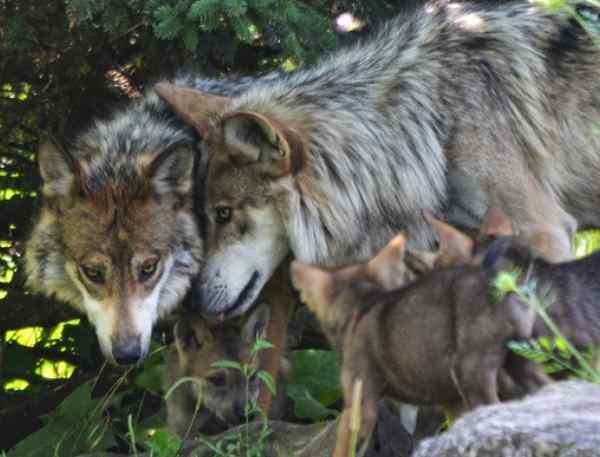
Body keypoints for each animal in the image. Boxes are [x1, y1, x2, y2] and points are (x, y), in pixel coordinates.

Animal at [290, 237, 544, 456]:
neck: (362, 304)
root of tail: (504, 281)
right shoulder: (451, 401)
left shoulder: (359, 404)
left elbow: (344, 450)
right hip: (523, 362)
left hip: (474, 375)